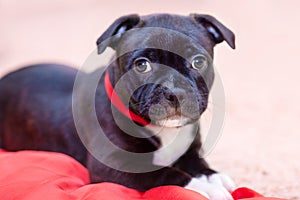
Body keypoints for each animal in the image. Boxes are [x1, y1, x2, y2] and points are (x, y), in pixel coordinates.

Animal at [0, 13, 236, 199]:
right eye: (142, 65)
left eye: (198, 62)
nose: (175, 92)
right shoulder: (116, 163)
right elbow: (163, 173)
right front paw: (202, 188)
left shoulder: (190, 148)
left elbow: (195, 162)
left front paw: (211, 176)